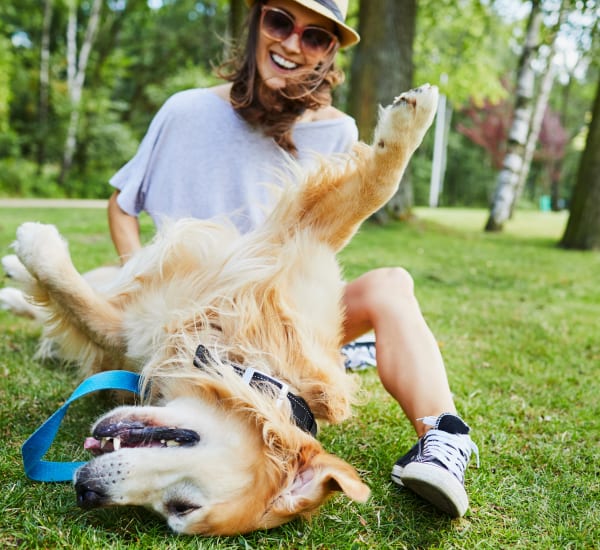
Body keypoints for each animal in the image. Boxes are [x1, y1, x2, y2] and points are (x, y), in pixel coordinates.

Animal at [7, 85, 438, 536]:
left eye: (179, 507)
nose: (86, 491)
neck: (242, 357)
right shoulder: (297, 245)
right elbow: (374, 190)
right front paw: (413, 117)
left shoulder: (127, 335)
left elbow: (81, 308)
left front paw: (36, 247)